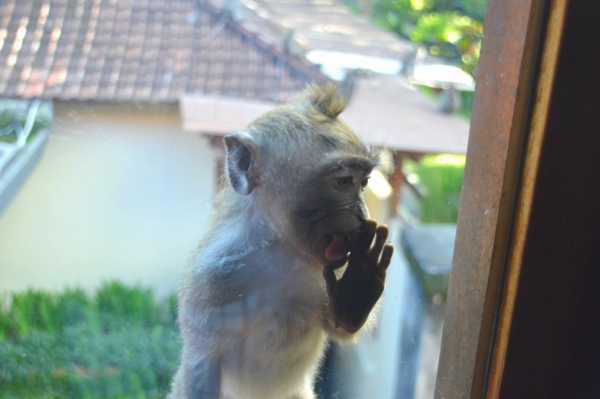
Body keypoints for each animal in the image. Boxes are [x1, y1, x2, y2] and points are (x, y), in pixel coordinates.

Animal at [168, 83, 394, 398]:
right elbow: (202, 363)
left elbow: (340, 326)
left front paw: (356, 289)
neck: (282, 251)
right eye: (344, 182)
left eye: (364, 183)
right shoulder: (211, 278)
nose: (363, 216)